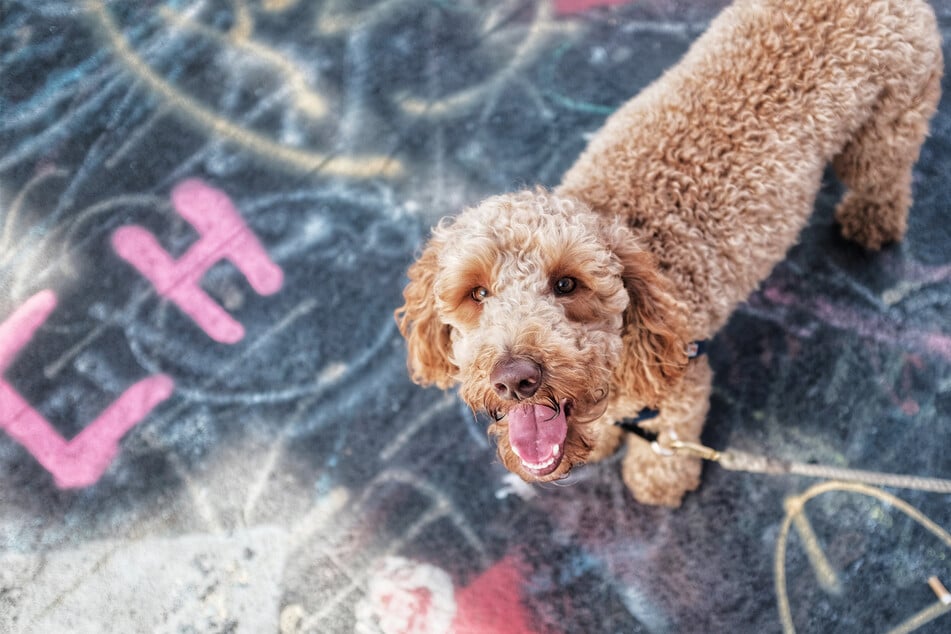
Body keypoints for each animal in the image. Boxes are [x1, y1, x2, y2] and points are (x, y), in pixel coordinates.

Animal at [396, 0, 944, 504]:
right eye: (476, 293)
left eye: (566, 284)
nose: (515, 380)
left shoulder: (683, 373)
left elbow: (673, 433)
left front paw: (659, 479)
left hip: (887, 125)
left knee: (885, 175)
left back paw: (871, 220)